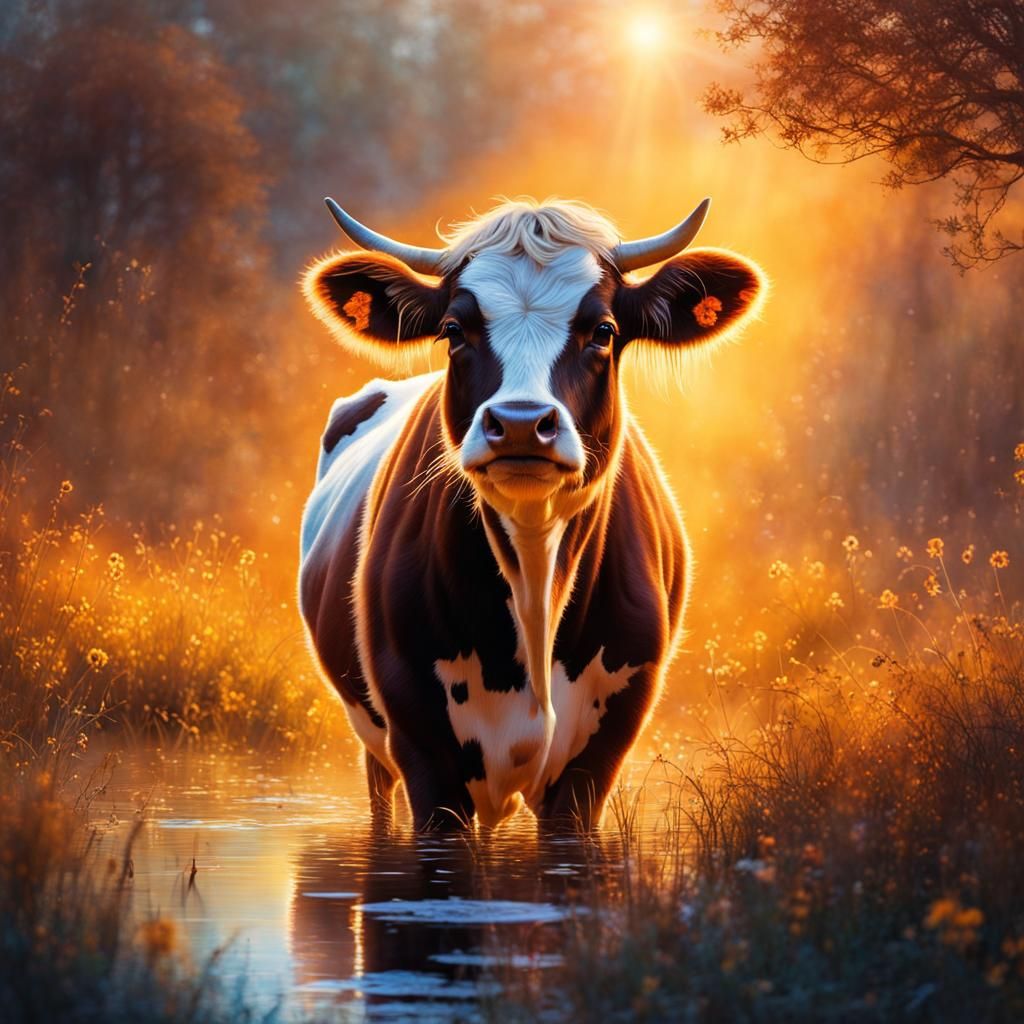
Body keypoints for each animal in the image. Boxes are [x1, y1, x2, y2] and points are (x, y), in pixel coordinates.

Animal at [298, 196, 765, 830]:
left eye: (603, 331)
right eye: (453, 330)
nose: (520, 423)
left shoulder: (597, 757)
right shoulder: (421, 747)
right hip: (375, 746)